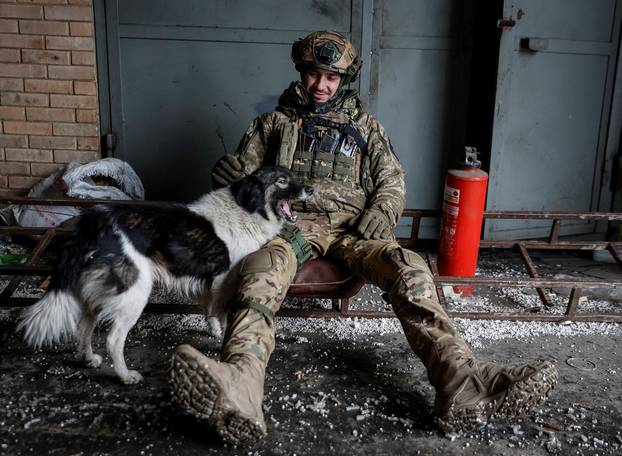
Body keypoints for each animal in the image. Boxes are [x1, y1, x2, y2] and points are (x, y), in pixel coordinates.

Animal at [17, 167, 314, 384]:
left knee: (85, 325)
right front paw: (220, 334)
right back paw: (126, 376)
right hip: (135, 292)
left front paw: (212, 328)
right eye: (282, 180)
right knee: (113, 339)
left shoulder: (212, 284)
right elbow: (220, 311)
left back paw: (89, 358)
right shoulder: (223, 278)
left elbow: (209, 309)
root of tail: (93, 224)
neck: (247, 208)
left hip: (99, 291)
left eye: (292, 175)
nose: (311, 189)